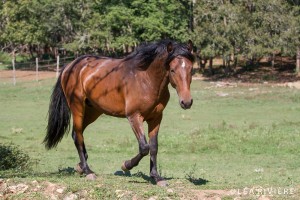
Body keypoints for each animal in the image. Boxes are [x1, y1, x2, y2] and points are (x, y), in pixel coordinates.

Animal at [43, 39, 196, 187]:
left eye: (191, 69)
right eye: (172, 69)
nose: (186, 102)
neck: (146, 79)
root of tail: (70, 66)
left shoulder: (156, 118)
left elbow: (153, 147)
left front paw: (157, 177)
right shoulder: (134, 117)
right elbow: (144, 148)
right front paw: (126, 165)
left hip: (93, 111)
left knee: (76, 134)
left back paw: (81, 166)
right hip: (77, 107)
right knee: (78, 136)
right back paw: (88, 171)